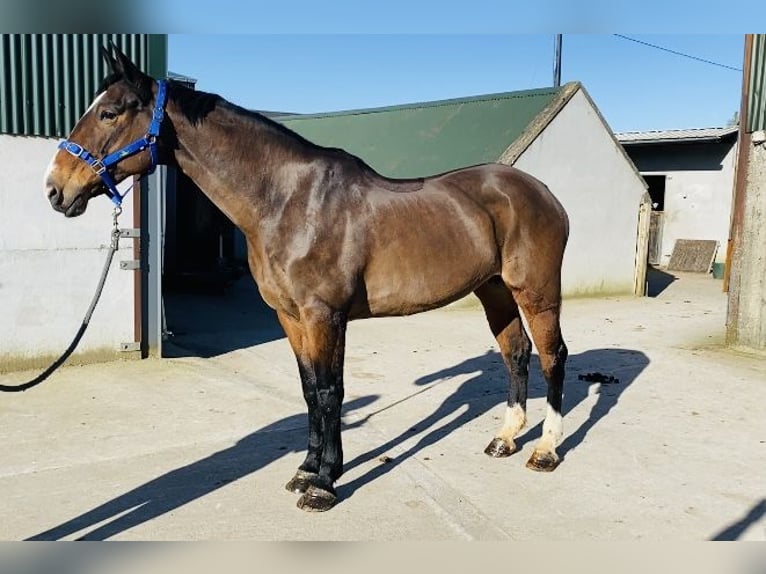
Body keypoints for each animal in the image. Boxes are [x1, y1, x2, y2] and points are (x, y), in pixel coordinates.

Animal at [43, 44, 569, 512]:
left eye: (109, 112)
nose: (55, 190)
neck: (288, 203)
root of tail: (541, 190)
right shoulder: (291, 317)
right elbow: (309, 390)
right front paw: (309, 470)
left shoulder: (324, 317)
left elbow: (330, 391)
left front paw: (323, 486)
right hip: (494, 289)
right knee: (516, 353)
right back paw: (504, 439)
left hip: (537, 292)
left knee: (552, 356)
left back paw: (545, 450)